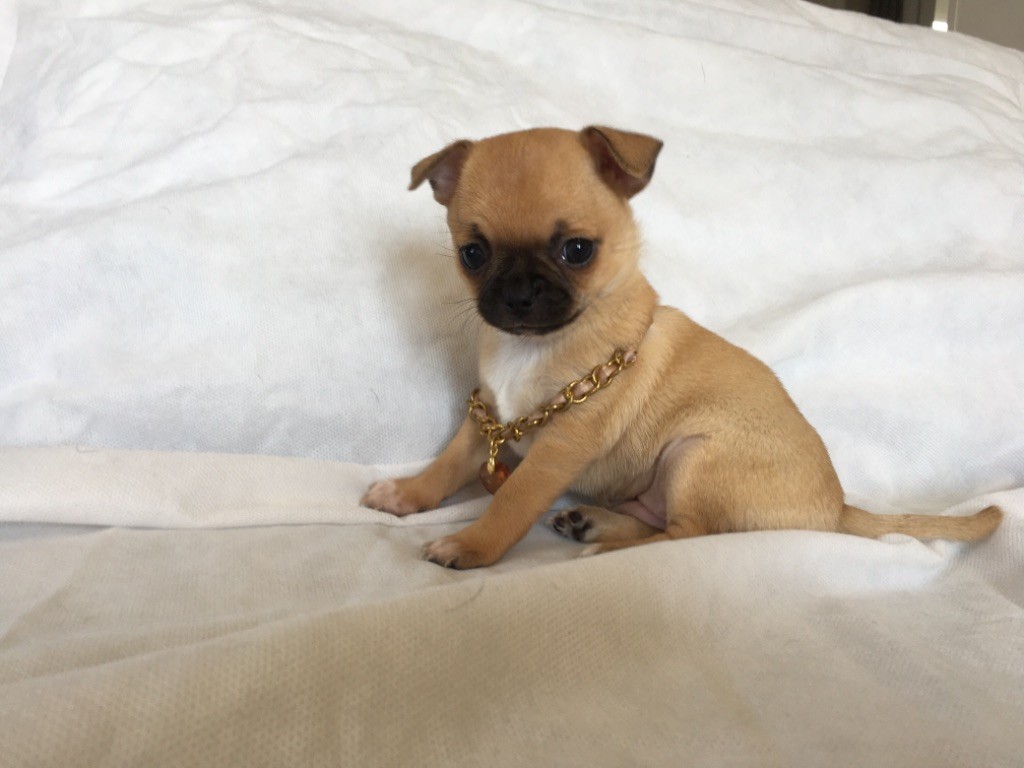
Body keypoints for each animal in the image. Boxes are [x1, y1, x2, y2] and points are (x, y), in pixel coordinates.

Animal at [361, 125, 1003, 569]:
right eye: (473, 255)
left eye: (576, 250)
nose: (518, 295)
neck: (537, 349)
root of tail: (835, 509)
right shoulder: (489, 417)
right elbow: (448, 464)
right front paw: (408, 492)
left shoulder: (561, 445)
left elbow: (512, 500)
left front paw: (471, 544)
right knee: (659, 524)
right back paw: (595, 523)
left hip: (694, 456)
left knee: (685, 535)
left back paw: (605, 547)